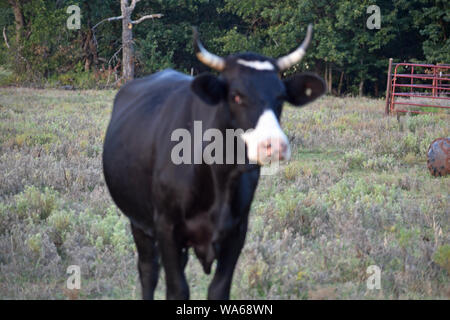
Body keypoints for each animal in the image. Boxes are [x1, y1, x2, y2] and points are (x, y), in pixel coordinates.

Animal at [103, 25, 326, 300]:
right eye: (236, 96)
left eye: (281, 97)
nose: (274, 144)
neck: (219, 178)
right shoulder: (165, 226)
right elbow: (177, 289)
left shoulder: (237, 231)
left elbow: (219, 289)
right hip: (138, 221)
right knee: (148, 271)